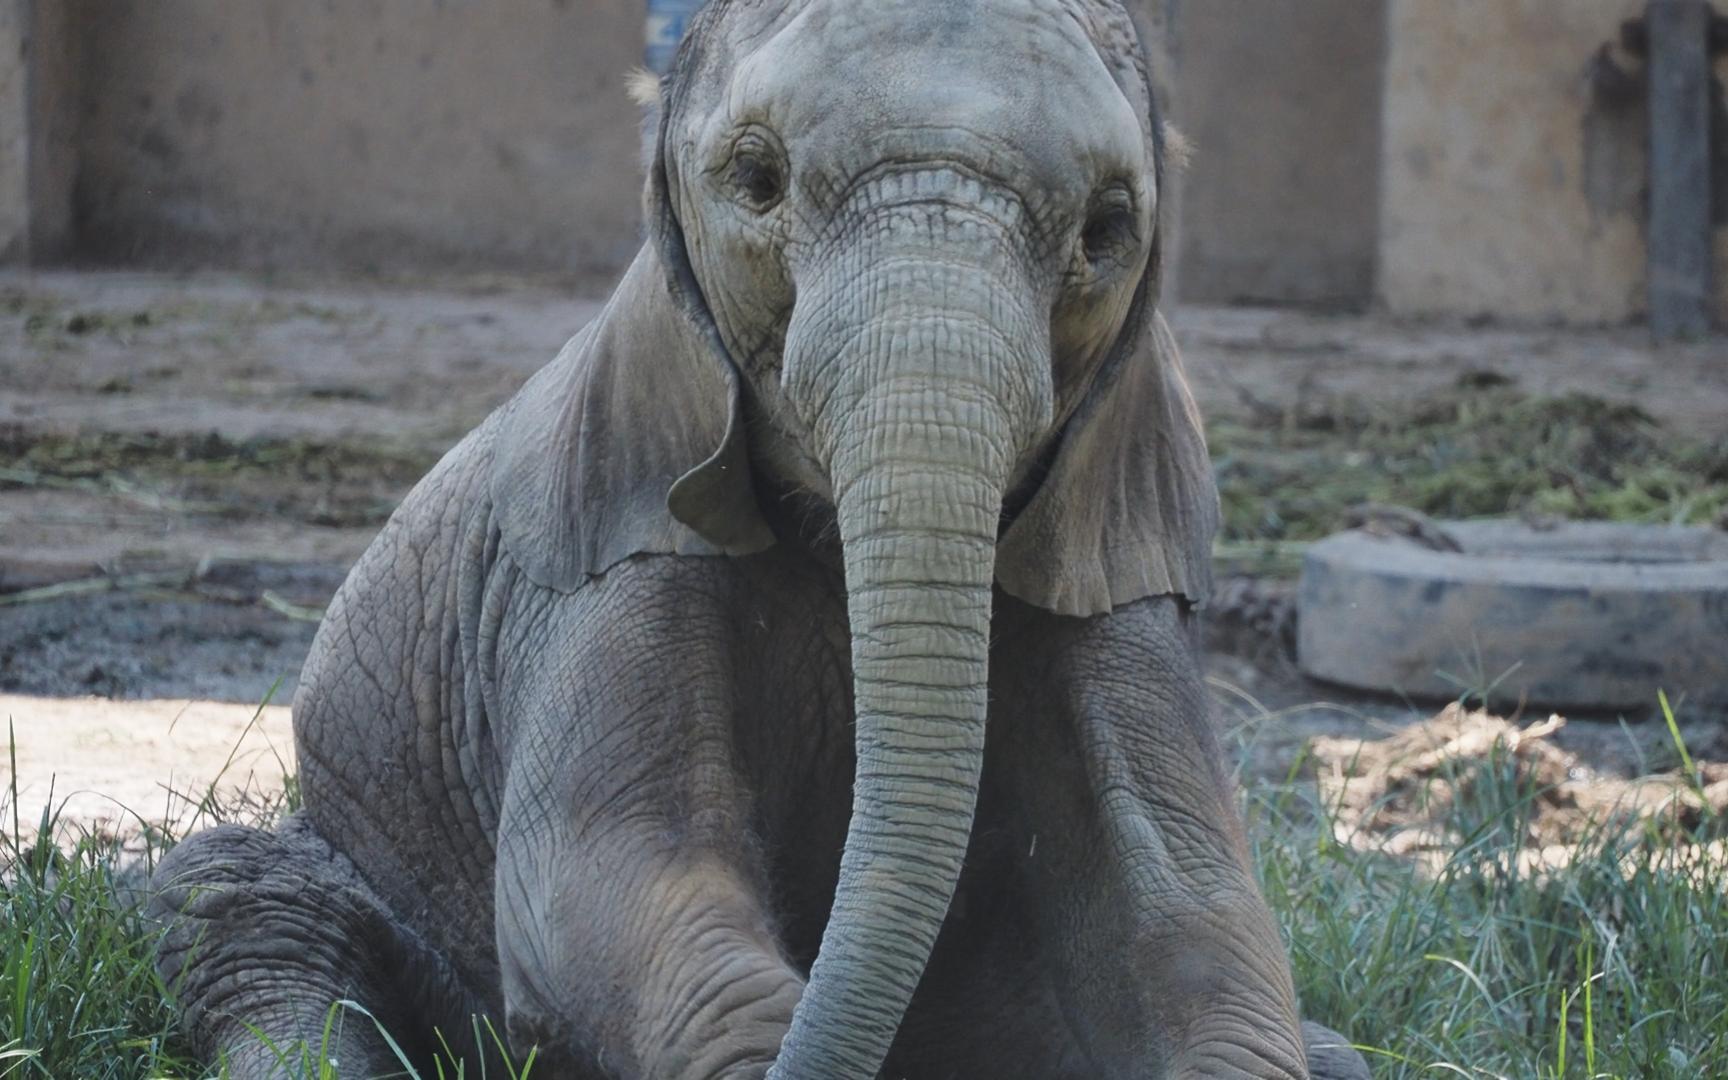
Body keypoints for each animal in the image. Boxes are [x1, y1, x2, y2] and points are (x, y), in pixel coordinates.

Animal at [150, 1, 1370, 1077]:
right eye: (756, 179)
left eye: (1110, 228)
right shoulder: (603, 568)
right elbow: (611, 880)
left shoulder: (1110, 579)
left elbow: (1192, 924)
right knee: (235, 907)